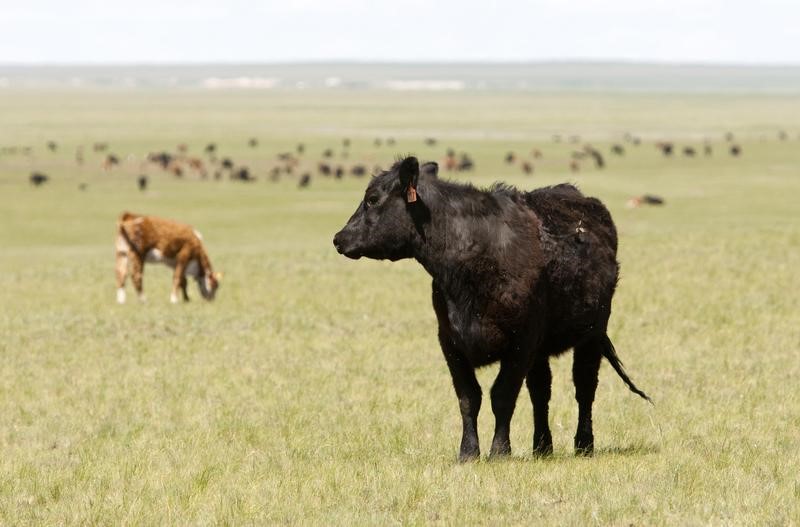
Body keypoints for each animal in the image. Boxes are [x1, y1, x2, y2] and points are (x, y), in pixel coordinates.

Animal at [332, 158, 648, 462]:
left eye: (372, 199)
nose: (339, 238)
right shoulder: (450, 342)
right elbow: (468, 398)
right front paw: (468, 452)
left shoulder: (520, 343)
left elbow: (503, 396)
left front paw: (499, 451)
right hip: (542, 349)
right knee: (540, 391)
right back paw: (542, 447)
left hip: (591, 334)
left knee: (584, 388)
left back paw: (583, 444)